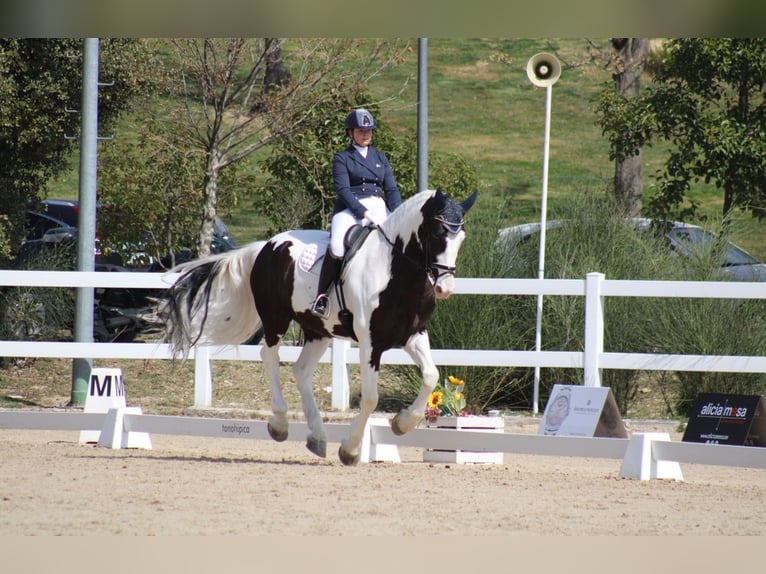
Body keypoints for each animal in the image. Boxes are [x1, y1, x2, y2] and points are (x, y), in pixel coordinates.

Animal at [163, 189, 480, 468]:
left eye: (462, 236)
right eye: (438, 233)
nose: (445, 288)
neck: (397, 274)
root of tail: (266, 245)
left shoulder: (414, 335)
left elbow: (430, 375)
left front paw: (402, 423)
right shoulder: (370, 342)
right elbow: (371, 397)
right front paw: (350, 450)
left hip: (318, 331)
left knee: (301, 371)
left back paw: (316, 437)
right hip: (276, 319)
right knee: (270, 358)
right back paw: (280, 424)